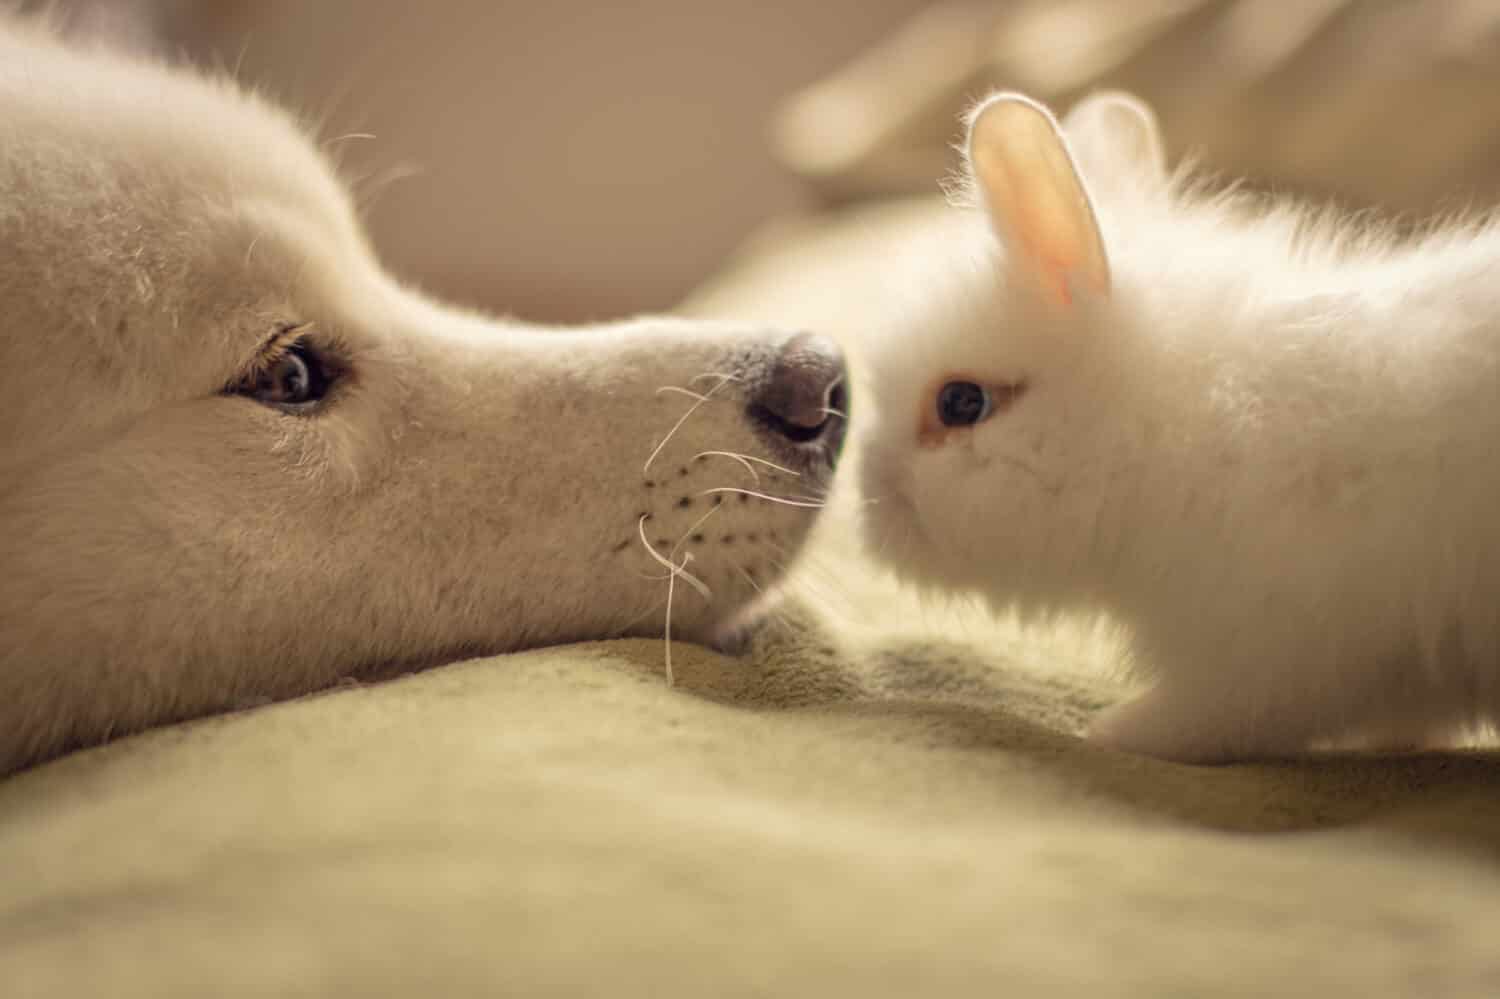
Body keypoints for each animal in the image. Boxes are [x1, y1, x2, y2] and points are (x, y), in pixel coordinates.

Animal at [858, 89, 1500, 759]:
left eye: (960, 403)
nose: (870, 488)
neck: (1167, 429)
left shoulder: (1274, 648)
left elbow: (1218, 719)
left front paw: (1110, 730)